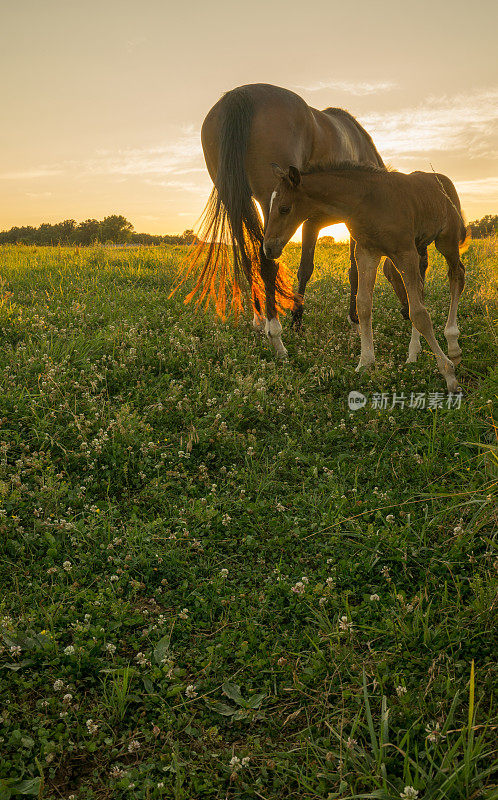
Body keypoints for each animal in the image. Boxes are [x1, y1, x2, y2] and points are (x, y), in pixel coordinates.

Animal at [178, 83, 412, 356]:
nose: (408, 313)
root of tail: (240, 95)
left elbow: (308, 269)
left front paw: (298, 318)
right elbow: (348, 270)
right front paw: (348, 320)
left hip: (234, 200)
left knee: (248, 260)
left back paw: (259, 319)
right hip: (268, 204)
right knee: (266, 261)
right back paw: (275, 336)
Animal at [262, 161, 468, 390]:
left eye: (284, 208)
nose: (268, 248)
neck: (369, 201)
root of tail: (444, 180)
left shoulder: (404, 253)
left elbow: (419, 314)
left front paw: (448, 374)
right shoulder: (367, 252)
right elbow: (363, 305)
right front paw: (365, 363)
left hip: (446, 240)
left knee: (457, 276)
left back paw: (453, 345)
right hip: (421, 246)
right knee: (422, 290)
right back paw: (414, 352)